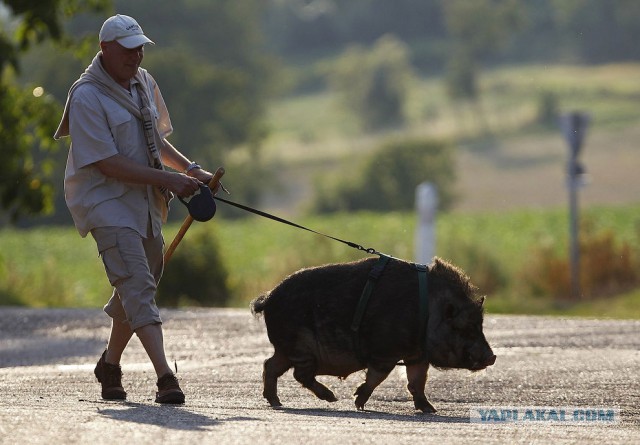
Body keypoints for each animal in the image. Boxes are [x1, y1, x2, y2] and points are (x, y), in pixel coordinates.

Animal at [250, 255, 496, 412]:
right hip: (299, 348)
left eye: (481, 324)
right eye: (463, 327)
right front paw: (358, 402)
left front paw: (430, 410)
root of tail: (268, 297)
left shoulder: (416, 355)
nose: (492, 356)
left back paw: (277, 402)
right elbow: (378, 377)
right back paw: (331, 398)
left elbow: (417, 381)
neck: (429, 312)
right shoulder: (385, 353)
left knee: (269, 365)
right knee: (298, 374)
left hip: (286, 350)